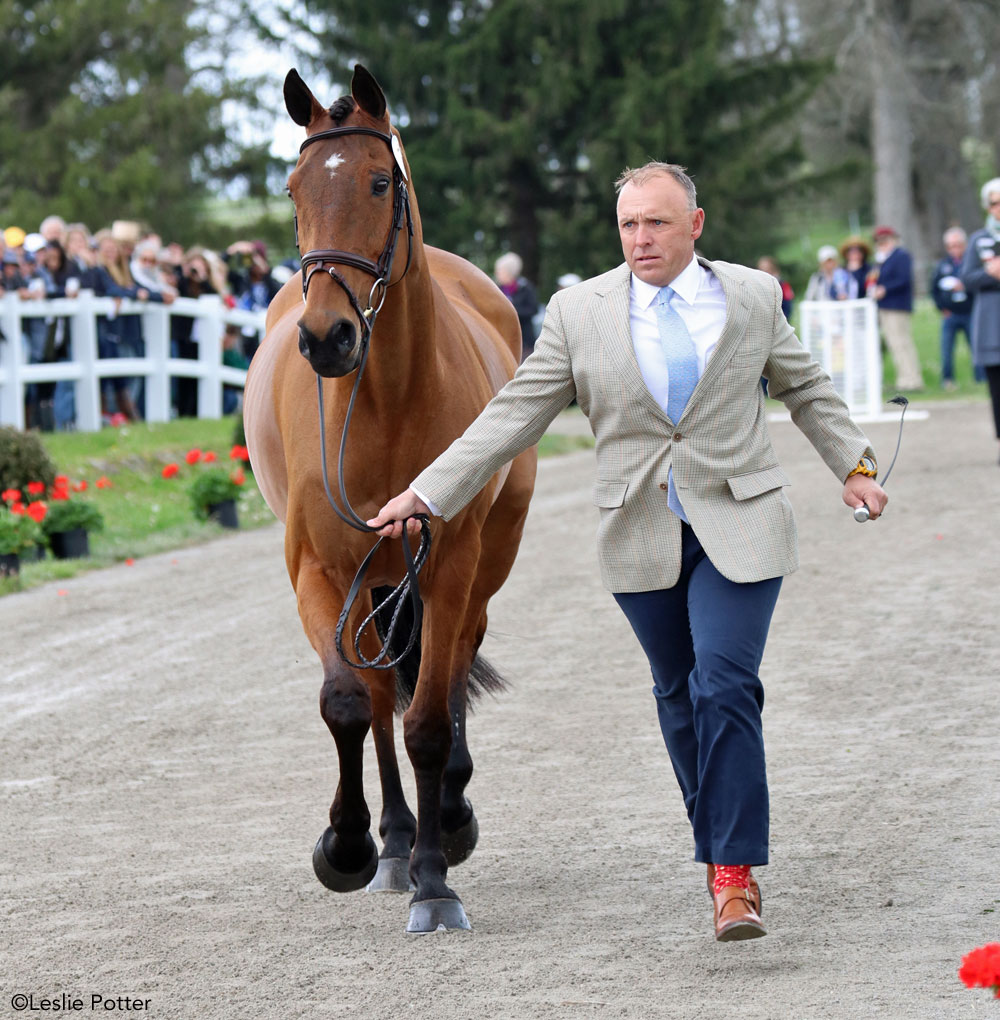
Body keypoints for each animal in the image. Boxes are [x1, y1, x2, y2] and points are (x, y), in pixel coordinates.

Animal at [242, 67, 538, 934]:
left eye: (379, 182)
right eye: (295, 188)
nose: (326, 337)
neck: (385, 405)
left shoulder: (446, 566)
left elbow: (431, 721)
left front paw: (437, 881)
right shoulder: (318, 571)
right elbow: (348, 702)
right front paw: (345, 847)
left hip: (481, 563)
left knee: (454, 661)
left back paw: (446, 822)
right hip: (370, 584)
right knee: (376, 702)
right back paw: (398, 838)